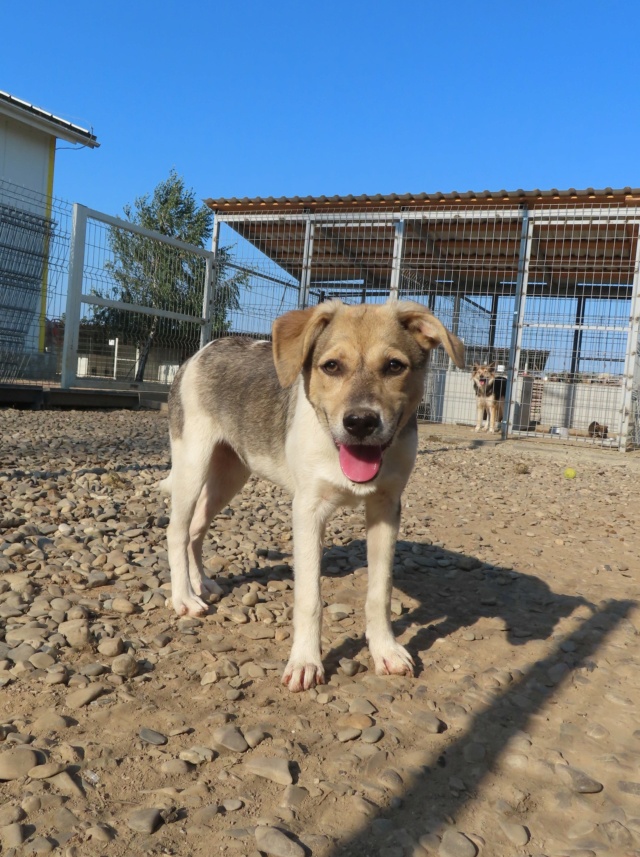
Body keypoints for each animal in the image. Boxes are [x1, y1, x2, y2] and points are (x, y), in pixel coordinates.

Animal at [162, 300, 464, 688]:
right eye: (331, 366)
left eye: (394, 366)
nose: (360, 422)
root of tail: (202, 351)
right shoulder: (308, 511)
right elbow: (309, 598)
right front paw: (305, 662)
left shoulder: (386, 509)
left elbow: (380, 592)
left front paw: (386, 651)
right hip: (192, 463)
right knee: (176, 530)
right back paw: (184, 598)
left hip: (230, 474)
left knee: (196, 529)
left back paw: (203, 583)